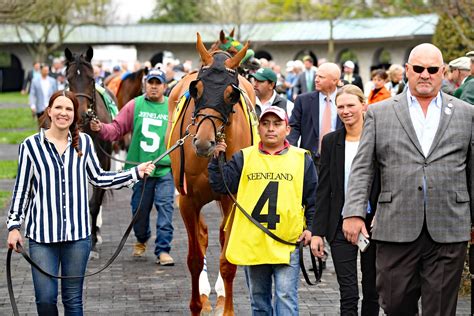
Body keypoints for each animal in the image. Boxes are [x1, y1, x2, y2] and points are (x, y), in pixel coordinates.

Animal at [167, 33, 256, 314]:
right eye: (197, 90)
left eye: (231, 95)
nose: (204, 142)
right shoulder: (187, 200)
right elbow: (195, 258)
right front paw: (197, 304)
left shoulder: (232, 199)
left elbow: (227, 258)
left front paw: (227, 308)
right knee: (204, 235)